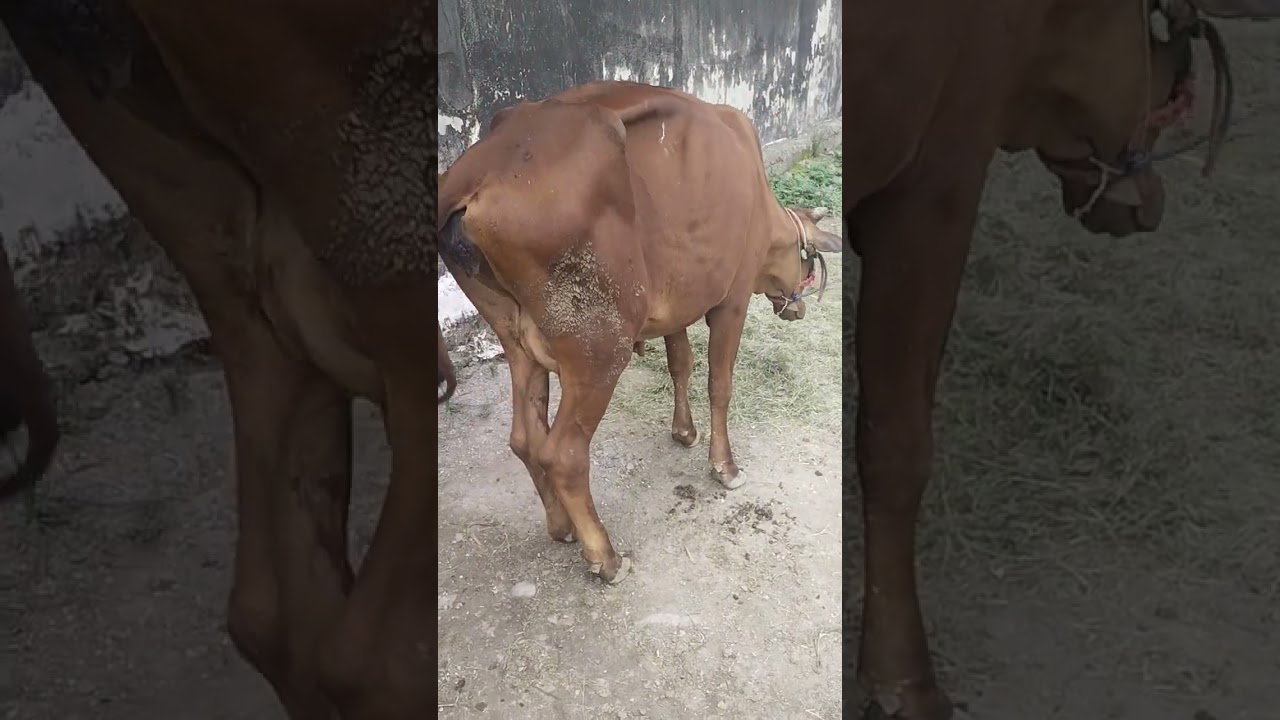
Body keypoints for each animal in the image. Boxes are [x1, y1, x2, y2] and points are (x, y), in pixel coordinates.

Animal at [438, 81, 842, 583]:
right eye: (809, 262)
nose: (797, 308)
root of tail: (480, 167)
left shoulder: (677, 303)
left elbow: (681, 363)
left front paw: (684, 431)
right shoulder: (730, 301)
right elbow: (720, 384)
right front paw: (725, 467)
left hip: (518, 344)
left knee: (525, 439)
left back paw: (561, 527)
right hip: (599, 350)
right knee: (563, 453)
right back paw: (605, 557)